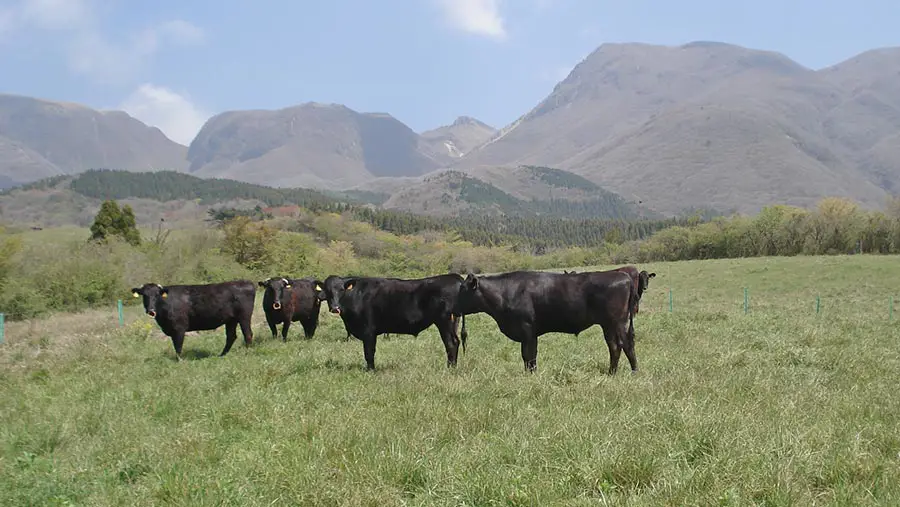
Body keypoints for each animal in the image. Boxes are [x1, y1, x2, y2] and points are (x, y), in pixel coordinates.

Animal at [316, 276, 472, 372]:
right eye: (328, 291)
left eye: (341, 290)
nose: (335, 308)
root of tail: (453, 277)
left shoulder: (368, 331)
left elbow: (369, 352)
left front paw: (371, 370)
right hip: (453, 322)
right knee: (456, 342)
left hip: (445, 322)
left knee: (451, 344)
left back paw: (450, 368)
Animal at [450, 272, 632, 376]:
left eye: (463, 290)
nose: (452, 307)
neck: (505, 292)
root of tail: (624, 276)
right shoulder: (531, 334)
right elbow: (530, 357)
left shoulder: (527, 330)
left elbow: (528, 355)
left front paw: (530, 375)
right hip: (609, 325)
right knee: (615, 346)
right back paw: (612, 373)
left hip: (617, 322)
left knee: (626, 345)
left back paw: (631, 371)